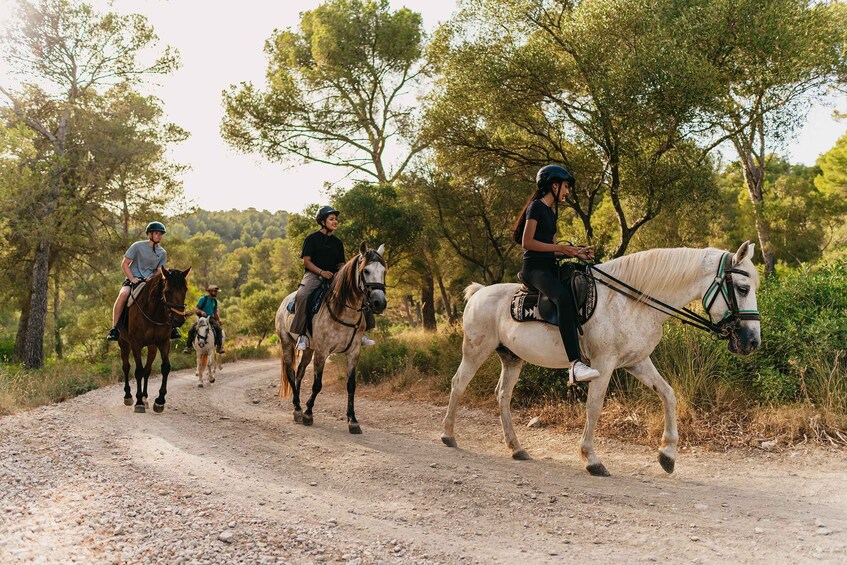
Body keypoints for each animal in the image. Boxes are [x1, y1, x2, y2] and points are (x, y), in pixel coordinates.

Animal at [119, 266, 190, 412]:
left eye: (185, 290)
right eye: (167, 291)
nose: (179, 320)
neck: (153, 311)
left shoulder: (163, 342)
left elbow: (165, 368)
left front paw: (159, 401)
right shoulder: (136, 344)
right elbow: (138, 371)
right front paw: (139, 402)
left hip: (152, 347)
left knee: (147, 370)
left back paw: (145, 398)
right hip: (124, 343)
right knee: (126, 367)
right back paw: (128, 396)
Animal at [274, 241, 388, 432]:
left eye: (384, 271)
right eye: (366, 271)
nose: (379, 303)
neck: (344, 310)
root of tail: (284, 302)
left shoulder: (353, 353)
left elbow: (351, 386)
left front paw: (353, 421)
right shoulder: (322, 352)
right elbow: (317, 384)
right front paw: (308, 414)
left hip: (308, 349)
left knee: (300, 373)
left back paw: (297, 405)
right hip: (287, 342)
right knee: (291, 372)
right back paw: (297, 409)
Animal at [444, 242, 760, 476]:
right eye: (742, 288)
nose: (752, 341)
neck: (632, 301)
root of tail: (479, 292)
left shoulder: (636, 361)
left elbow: (668, 394)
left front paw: (667, 455)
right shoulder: (603, 364)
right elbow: (594, 407)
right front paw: (592, 459)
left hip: (511, 358)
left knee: (503, 395)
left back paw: (516, 448)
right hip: (476, 350)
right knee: (458, 383)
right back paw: (448, 435)